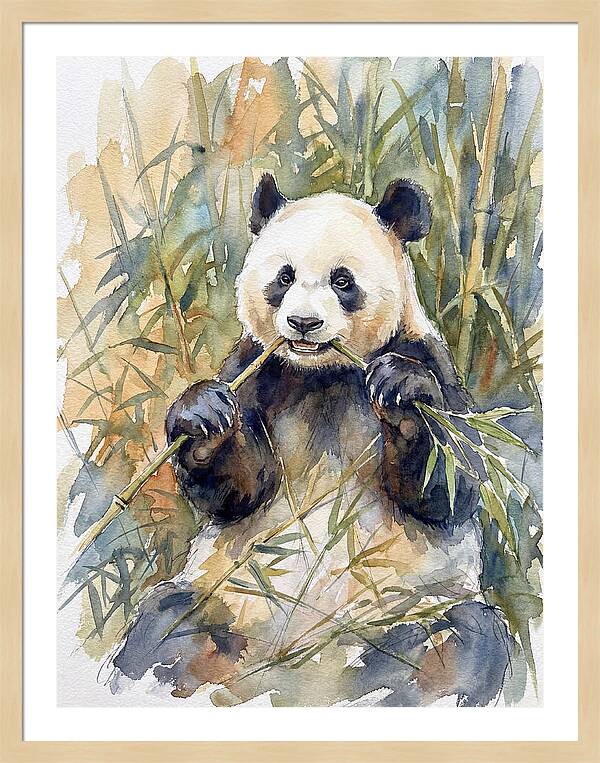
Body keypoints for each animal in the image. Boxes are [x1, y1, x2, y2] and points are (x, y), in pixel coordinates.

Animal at [112, 175, 513, 706]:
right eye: (284, 278)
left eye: (342, 281)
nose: (303, 323)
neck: (324, 374)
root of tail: (299, 666)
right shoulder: (257, 368)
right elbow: (242, 490)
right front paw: (202, 417)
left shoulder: (426, 356)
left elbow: (452, 484)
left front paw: (402, 394)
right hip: (226, 599)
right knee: (163, 627)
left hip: (410, 609)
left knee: (463, 641)